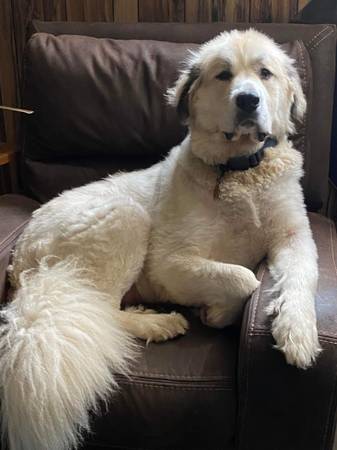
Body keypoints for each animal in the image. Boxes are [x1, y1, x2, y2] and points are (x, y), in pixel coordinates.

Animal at [0, 29, 320, 450]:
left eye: (264, 73)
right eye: (224, 75)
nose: (248, 100)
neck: (238, 170)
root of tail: (21, 263)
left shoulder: (294, 236)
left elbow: (300, 278)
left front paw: (297, 333)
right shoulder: (169, 262)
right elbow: (243, 278)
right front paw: (218, 311)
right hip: (124, 216)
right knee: (102, 309)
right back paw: (157, 324)